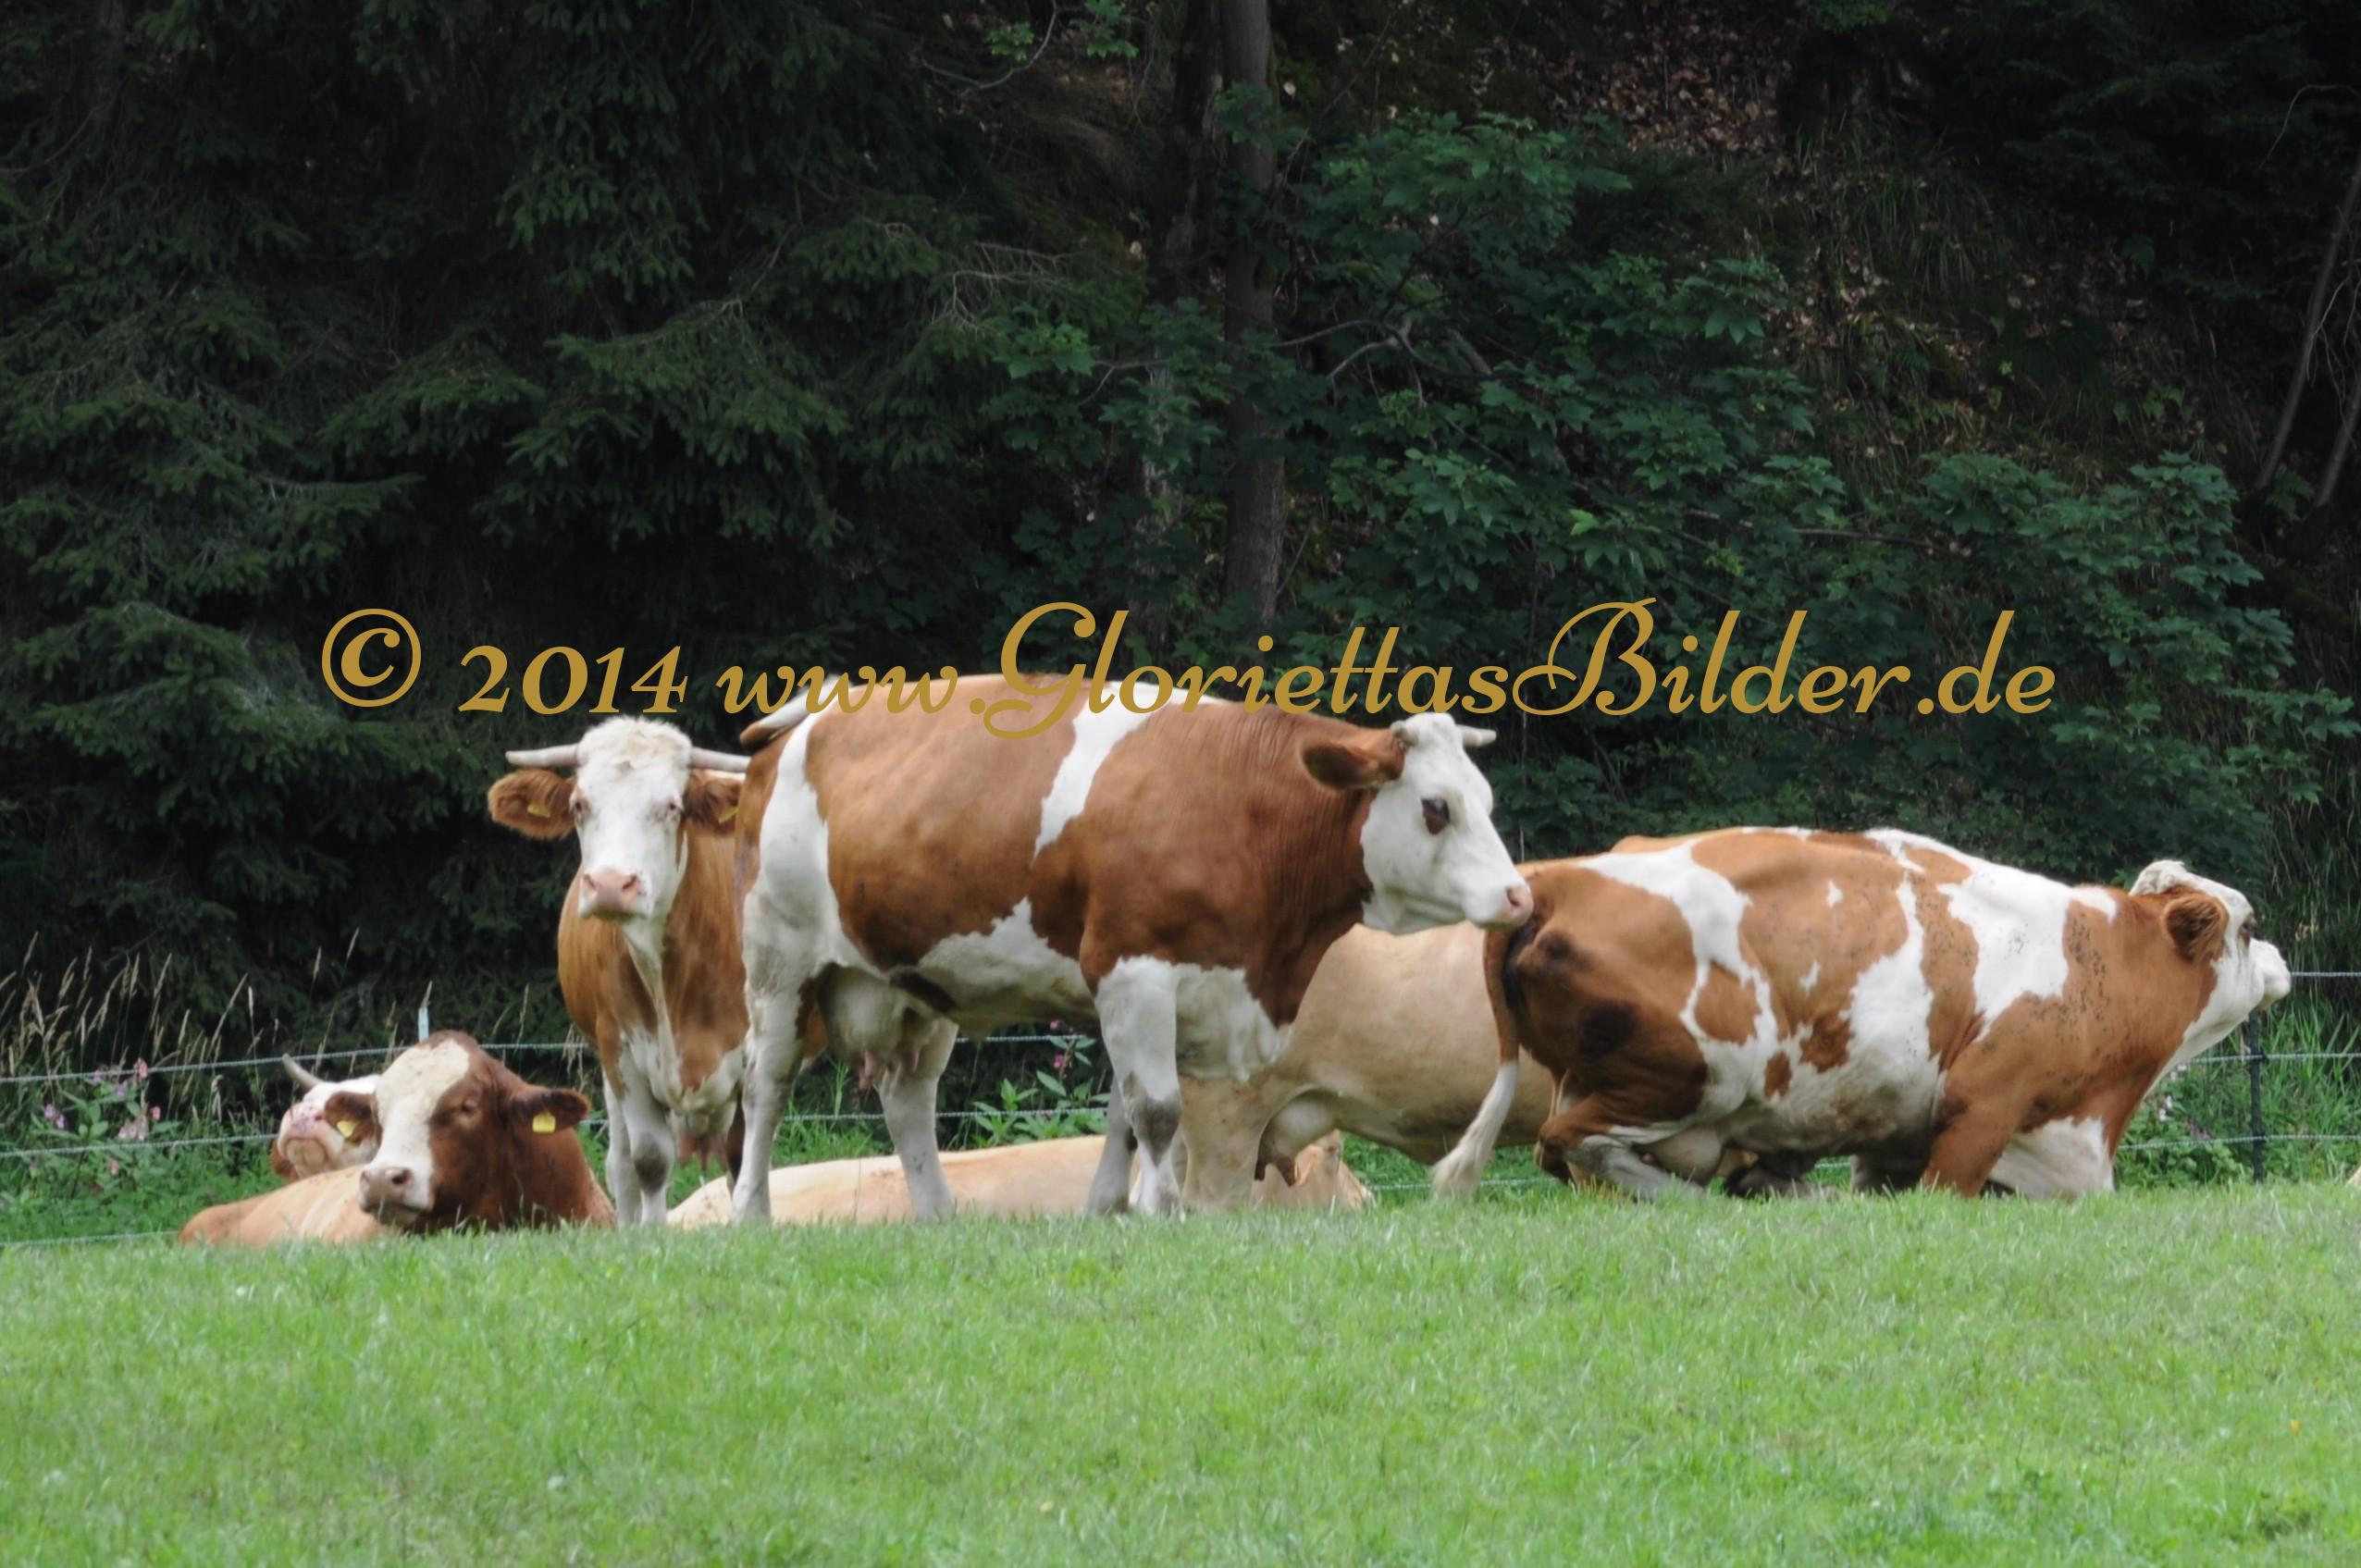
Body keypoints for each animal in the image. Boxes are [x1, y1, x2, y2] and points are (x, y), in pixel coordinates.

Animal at [487, 717, 752, 1224]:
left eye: (671, 806)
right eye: (579, 805)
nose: (611, 885)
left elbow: (746, 1156)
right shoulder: (620, 1052)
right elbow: (648, 1160)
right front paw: (649, 1233)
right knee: (621, 1164)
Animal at [726, 675, 1531, 1223]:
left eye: (1490, 801)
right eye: (1436, 808)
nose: (1518, 895)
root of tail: (805, 717)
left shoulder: (1179, 991)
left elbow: (1123, 1116)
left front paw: (1109, 1211)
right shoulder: (1134, 973)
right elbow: (1158, 1113)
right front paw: (1157, 1212)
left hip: (916, 987)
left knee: (908, 1102)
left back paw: (939, 1216)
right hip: (778, 961)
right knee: (767, 1085)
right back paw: (750, 1213)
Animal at [1434, 828, 2292, 1199]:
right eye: (2249, 926)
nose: (2282, 960)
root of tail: (1563, 879)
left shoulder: (1898, 1142)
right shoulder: (1982, 1111)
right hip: (1692, 1075)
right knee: (1574, 1143)